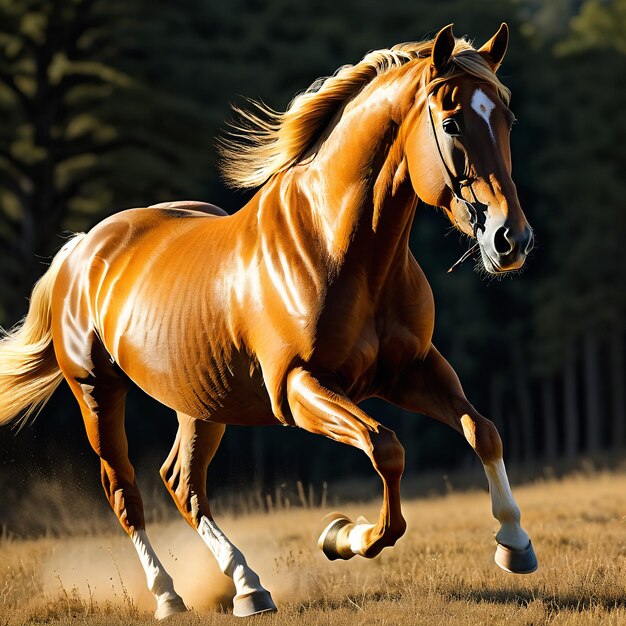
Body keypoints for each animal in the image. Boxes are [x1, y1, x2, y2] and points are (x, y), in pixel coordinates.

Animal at [0, 23, 536, 616]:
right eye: (452, 122)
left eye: (507, 118)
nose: (511, 240)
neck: (341, 248)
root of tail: (80, 249)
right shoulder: (298, 388)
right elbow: (386, 448)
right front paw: (344, 535)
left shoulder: (411, 370)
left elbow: (483, 431)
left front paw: (514, 544)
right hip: (97, 392)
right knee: (125, 493)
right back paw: (169, 597)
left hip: (201, 403)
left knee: (183, 485)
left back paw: (248, 587)